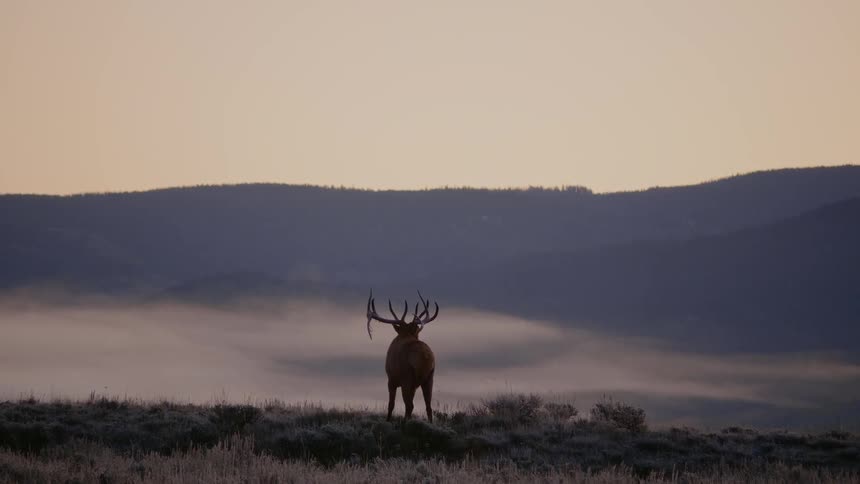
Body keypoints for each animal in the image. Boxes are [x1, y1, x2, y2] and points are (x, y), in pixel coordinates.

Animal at [366, 289, 439, 422]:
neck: (405, 335)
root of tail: (425, 356)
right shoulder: (414, 385)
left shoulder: (391, 379)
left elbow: (391, 404)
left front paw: (388, 420)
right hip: (429, 377)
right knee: (428, 407)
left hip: (407, 377)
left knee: (410, 405)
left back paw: (405, 423)